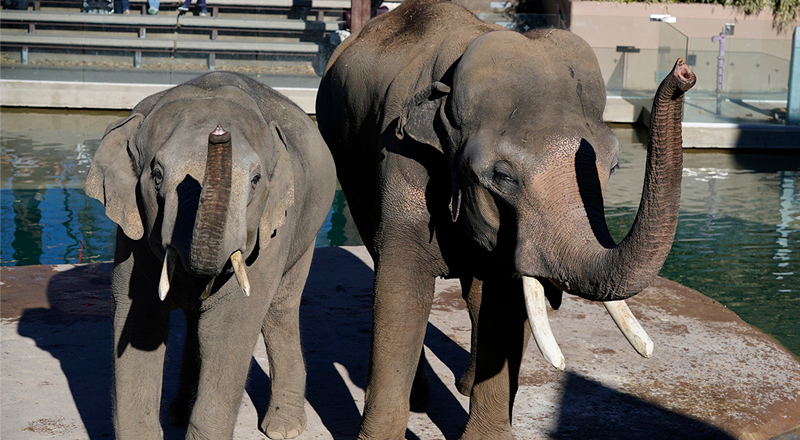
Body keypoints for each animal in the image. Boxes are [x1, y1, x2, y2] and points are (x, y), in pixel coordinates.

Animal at [86, 72, 336, 440]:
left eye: (256, 180)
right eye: (157, 176)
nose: (219, 132)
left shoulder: (267, 235)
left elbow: (228, 327)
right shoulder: (132, 233)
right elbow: (141, 320)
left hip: (305, 228)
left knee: (280, 310)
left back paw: (283, 429)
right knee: (196, 321)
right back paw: (178, 413)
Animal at [316, 0, 696, 438]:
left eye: (614, 166)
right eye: (503, 177)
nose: (683, 72)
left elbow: (504, 304)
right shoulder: (399, 165)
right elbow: (400, 295)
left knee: (476, 293)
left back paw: (464, 385)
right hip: (346, 164)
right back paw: (421, 396)